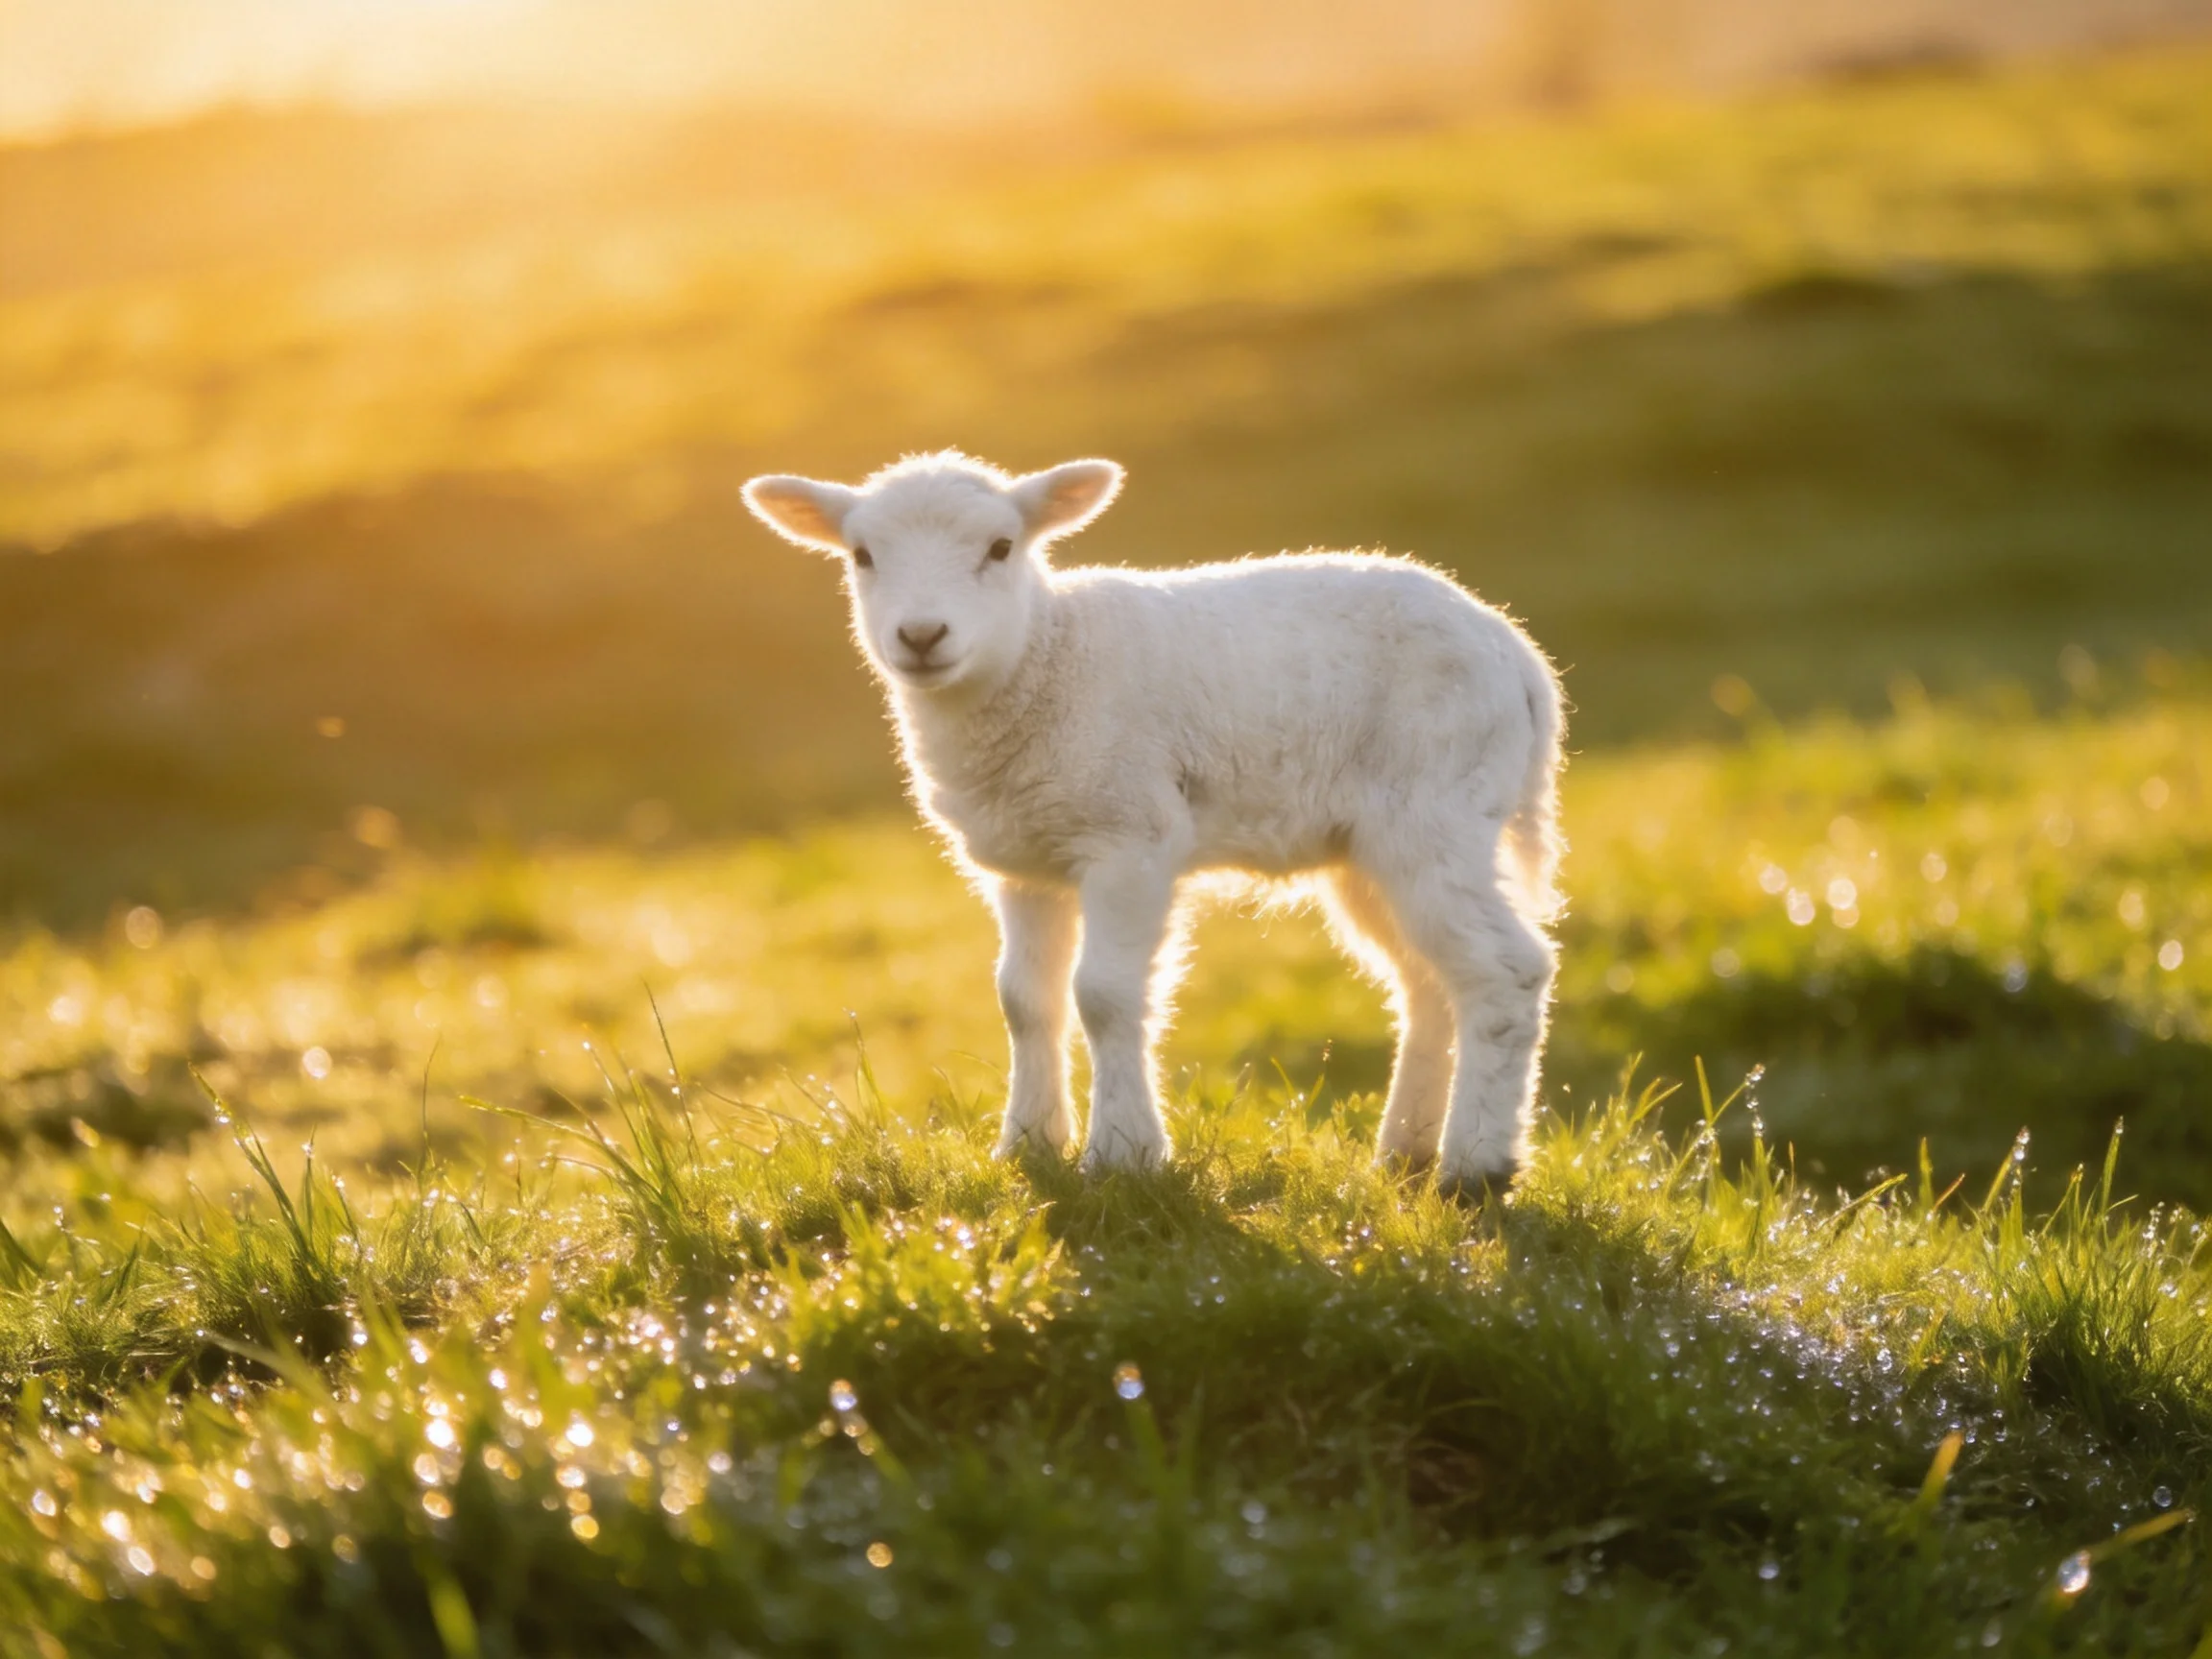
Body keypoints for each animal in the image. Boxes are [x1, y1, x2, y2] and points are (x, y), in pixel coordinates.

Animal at [742, 451, 1564, 1190]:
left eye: (1001, 547)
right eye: (862, 555)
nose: (920, 636)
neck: (1045, 656)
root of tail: (1515, 651)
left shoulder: (1129, 837)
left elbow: (1104, 996)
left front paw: (1124, 1154)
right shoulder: (1025, 862)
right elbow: (1023, 1000)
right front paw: (1029, 1145)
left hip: (1436, 808)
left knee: (1507, 972)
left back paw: (1477, 1166)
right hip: (1369, 845)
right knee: (1428, 981)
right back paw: (1405, 1151)